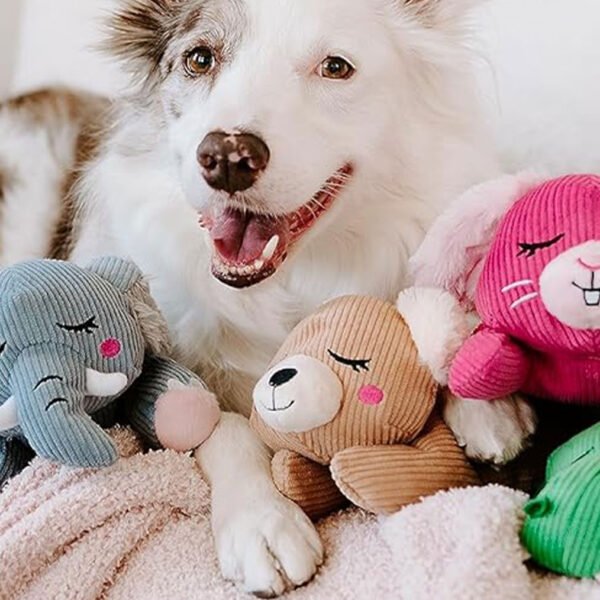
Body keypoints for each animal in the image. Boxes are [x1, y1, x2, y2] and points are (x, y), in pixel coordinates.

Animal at [0, 0, 552, 596]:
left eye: (335, 67)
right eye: (200, 58)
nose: (226, 155)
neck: (286, 283)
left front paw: (485, 404)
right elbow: (222, 423)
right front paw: (261, 523)